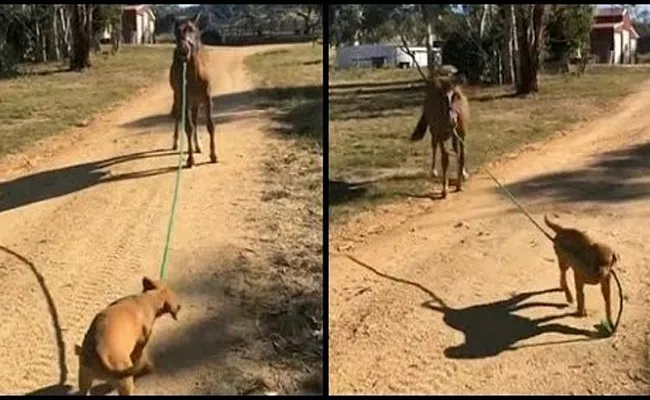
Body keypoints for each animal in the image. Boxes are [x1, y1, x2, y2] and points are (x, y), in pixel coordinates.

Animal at [168, 14, 216, 168]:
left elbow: (210, 125)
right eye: (176, 32)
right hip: (179, 98)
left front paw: (213, 155)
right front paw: (190, 159)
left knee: (194, 120)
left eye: (192, 29)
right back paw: (175, 142)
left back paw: (198, 146)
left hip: (195, 102)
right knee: (178, 117)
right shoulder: (184, 98)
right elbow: (188, 128)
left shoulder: (207, 98)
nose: (183, 50)